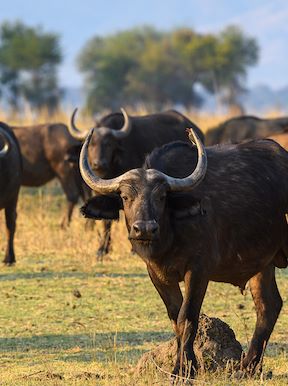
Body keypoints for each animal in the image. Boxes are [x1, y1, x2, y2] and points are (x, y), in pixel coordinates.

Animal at [69, 108, 205, 258]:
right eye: (91, 144)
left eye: (108, 144)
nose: (98, 164)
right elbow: (106, 220)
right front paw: (102, 249)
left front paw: (132, 249)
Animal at [79, 127, 288, 380]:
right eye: (126, 197)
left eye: (161, 197)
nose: (144, 229)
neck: (169, 237)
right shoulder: (156, 274)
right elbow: (174, 317)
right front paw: (184, 365)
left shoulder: (198, 270)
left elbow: (187, 317)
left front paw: (184, 368)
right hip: (263, 263)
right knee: (268, 305)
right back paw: (247, 367)